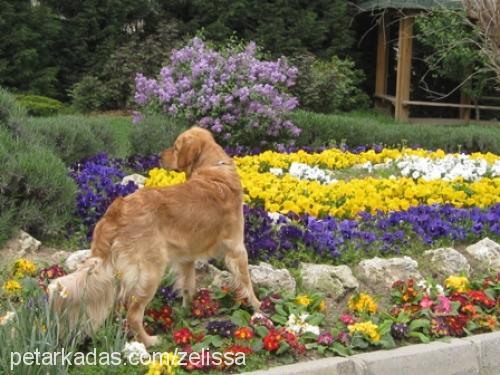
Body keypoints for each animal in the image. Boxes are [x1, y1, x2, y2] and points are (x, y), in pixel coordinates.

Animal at [48, 126, 260, 346]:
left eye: (175, 148)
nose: (159, 156)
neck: (214, 170)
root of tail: (116, 211)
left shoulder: (187, 258)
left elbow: (188, 286)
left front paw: (188, 311)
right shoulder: (237, 248)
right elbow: (247, 282)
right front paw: (258, 308)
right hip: (151, 271)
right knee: (133, 314)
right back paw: (149, 341)